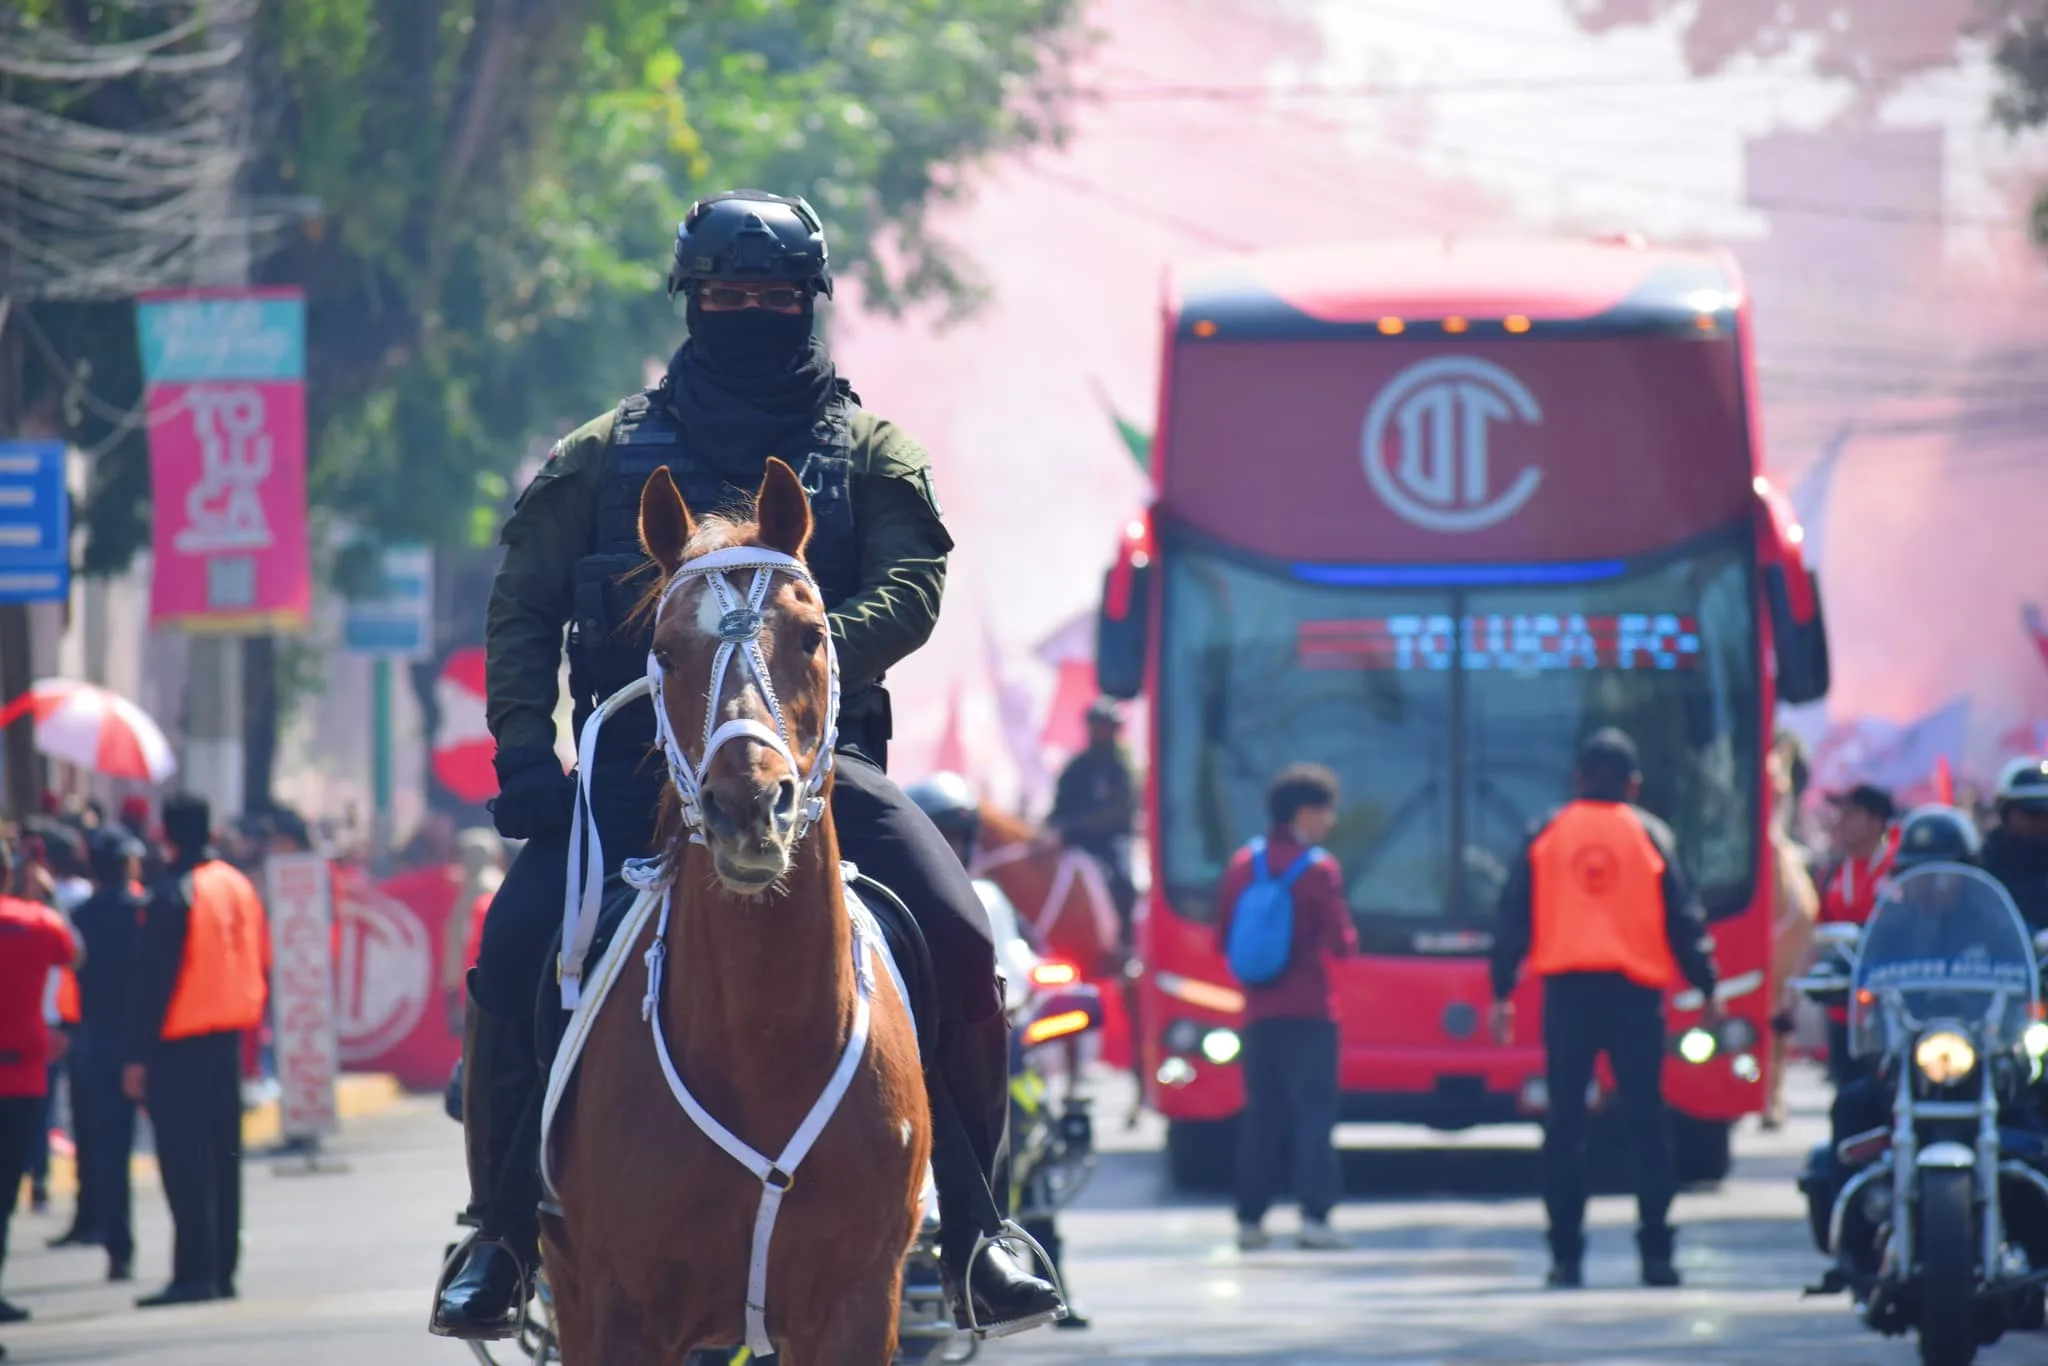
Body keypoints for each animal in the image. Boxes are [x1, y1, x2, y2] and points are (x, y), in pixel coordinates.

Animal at [544, 462, 929, 1366]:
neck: (765, 1041)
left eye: (813, 637)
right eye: (664, 652)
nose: (749, 807)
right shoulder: (622, 1314)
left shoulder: (861, 1306)